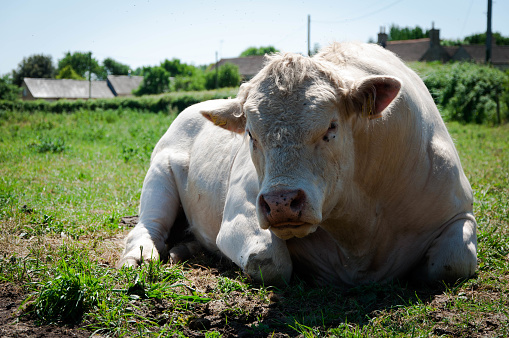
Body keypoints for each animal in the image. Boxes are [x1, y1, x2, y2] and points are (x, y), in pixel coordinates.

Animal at [119, 42, 476, 286]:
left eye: (331, 127)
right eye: (251, 133)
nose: (281, 202)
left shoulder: (459, 211)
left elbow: (454, 262)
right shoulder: (239, 213)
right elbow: (269, 262)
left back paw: (184, 249)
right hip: (159, 174)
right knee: (148, 226)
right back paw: (141, 256)